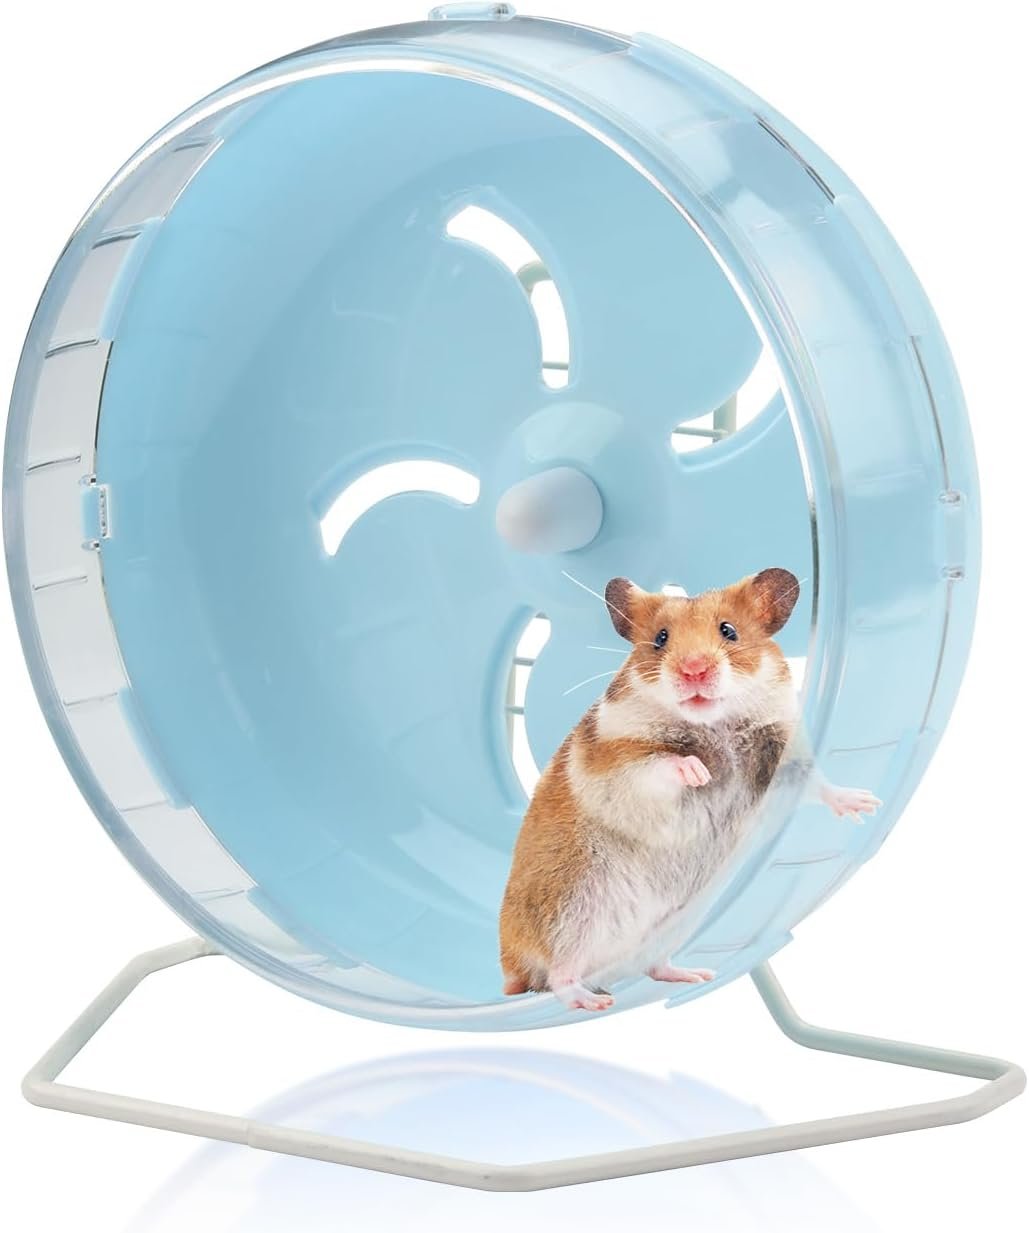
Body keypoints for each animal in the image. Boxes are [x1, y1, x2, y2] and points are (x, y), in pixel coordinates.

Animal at [498, 568, 880, 1012]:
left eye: (729, 631)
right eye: (660, 638)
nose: (694, 670)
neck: (714, 723)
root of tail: (510, 964)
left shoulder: (784, 755)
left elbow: (817, 782)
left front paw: (866, 804)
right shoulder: (617, 762)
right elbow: (660, 765)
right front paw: (699, 772)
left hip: (673, 926)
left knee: (650, 967)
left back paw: (695, 974)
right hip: (571, 910)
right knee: (558, 976)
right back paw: (592, 1001)